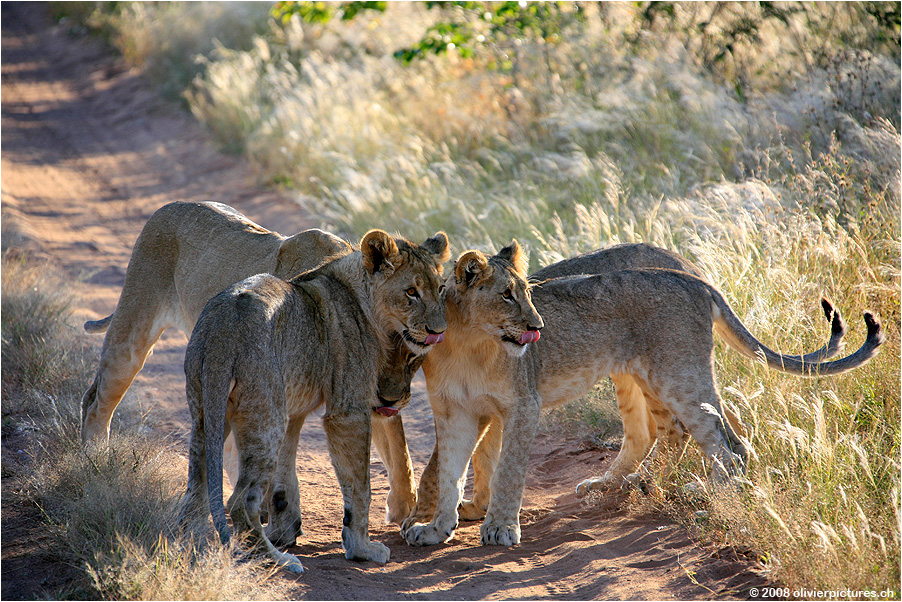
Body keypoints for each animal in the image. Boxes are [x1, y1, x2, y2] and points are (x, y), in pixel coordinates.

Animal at [182, 227, 450, 568]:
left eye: (440, 288)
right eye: (411, 292)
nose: (438, 331)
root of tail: (223, 328)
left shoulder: (295, 409)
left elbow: (286, 479)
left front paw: (287, 529)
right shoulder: (347, 411)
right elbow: (359, 486)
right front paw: (361, 548)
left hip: (208, 412)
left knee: (196, 490)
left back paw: (187, 547)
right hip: (266, 418)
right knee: (241, 501)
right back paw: (277, 560)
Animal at [402, 241, 884, 548]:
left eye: (528, 292)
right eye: (506, 295)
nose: (538, 326)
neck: (468, 341)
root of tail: (693, 278)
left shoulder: (522, 405)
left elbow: (506, 470)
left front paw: (499, 528)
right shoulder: (454, 411)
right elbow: (449, 471)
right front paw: (435, 529)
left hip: (678, 374)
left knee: (728, 444)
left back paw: (706, 501)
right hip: (643, 375)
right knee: (663, 433)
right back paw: (623, 483)